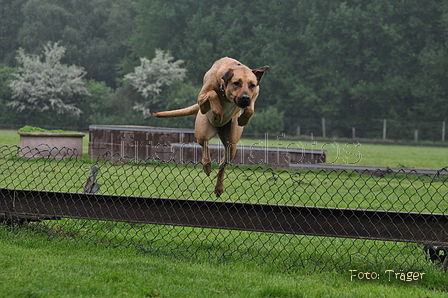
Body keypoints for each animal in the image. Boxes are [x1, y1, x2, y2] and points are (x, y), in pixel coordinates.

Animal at [152, 57, 270, 198]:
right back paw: (207, 165)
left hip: (232, 144)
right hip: (202, 129)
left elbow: (251, 107)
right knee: (205, 144)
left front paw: (243, 118)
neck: (225, 93)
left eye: (252, 85)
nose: (245, 98)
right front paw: (218, 112)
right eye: (236, 83)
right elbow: (212, 93)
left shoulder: (256, 91)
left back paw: (219, 187)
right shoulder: (202, 99)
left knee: (223, 163)